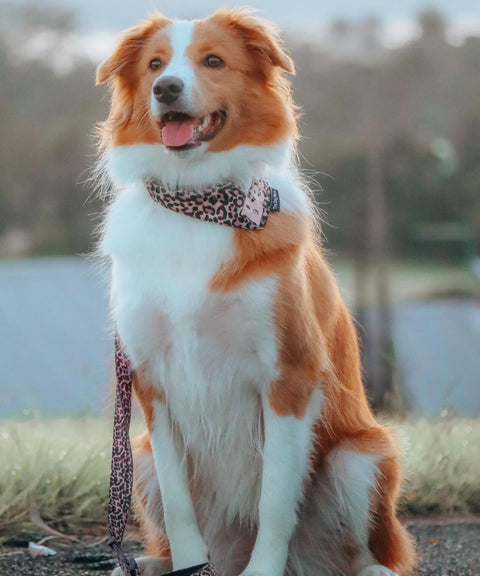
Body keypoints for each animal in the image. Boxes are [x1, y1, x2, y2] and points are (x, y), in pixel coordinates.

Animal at [95, 7, 414, 576]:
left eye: (213, 61)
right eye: (154, 64)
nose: (166, 88)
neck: (198, 202)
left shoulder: (288, 375)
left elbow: (275, 499)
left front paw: (263, 569)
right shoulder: (154, 384)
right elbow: (179, 504)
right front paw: (188, 564)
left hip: (362, 456)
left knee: (365, 551)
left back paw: (365, 567)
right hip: (143, 455)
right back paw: (158, 562)